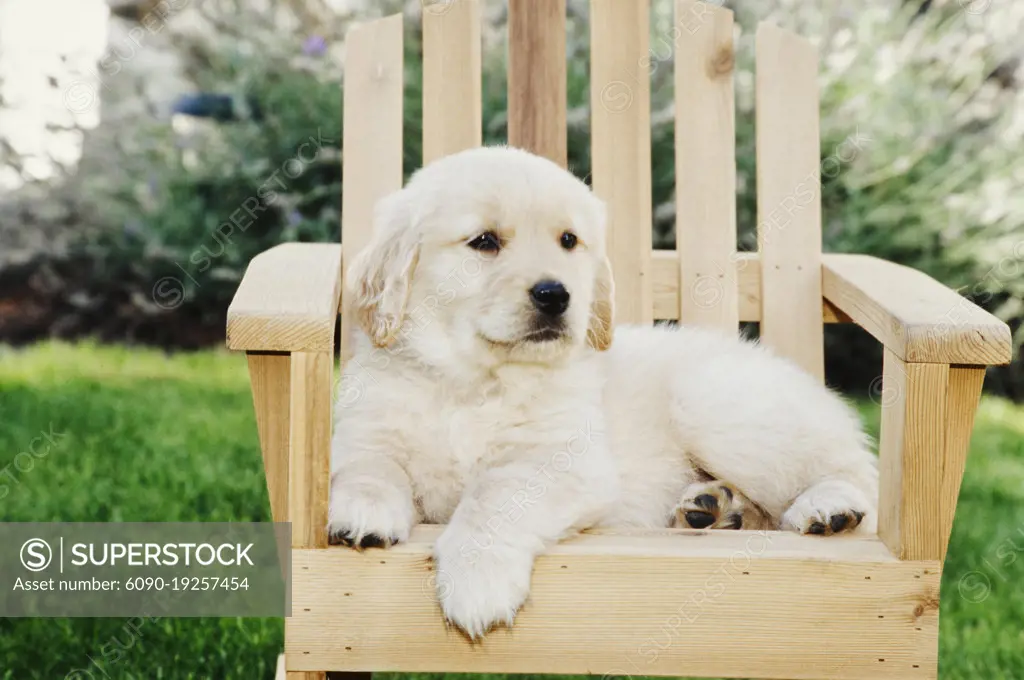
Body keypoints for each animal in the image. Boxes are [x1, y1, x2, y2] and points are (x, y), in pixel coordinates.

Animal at [329, 146, 880, 639]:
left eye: (569, 241)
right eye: (484, 241)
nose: (555, 295)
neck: (476, 382)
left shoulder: (560, 461)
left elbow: (495, 498)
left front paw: (476, 581)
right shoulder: (365, 431)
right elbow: (367, 468)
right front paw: (362, 512)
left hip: (715, 405)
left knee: (851, 475)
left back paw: (826, 508)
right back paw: (715, 508)